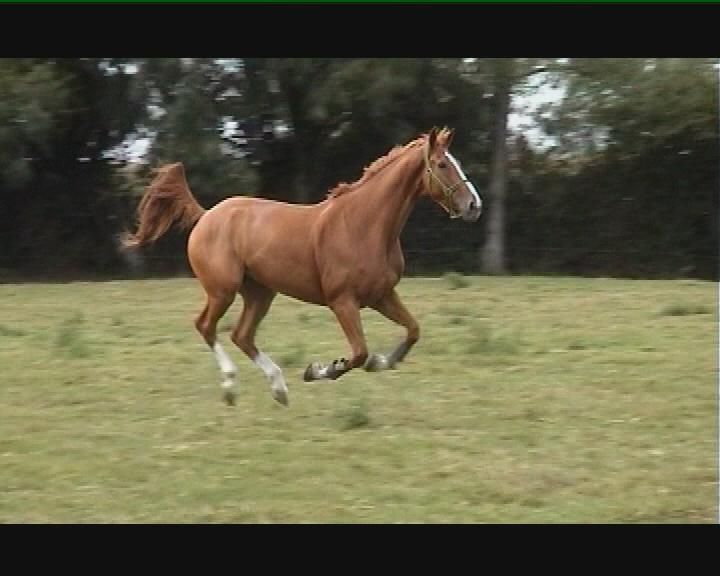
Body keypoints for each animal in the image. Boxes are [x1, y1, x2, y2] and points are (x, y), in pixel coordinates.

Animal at [122, 126, 482, 407]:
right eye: (441, 164)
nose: (474, 206)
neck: (364, 225)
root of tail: (207, 215)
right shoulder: (342, 301)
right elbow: (358, 353)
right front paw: (320, 369)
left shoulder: (382, 296)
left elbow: (411, 332)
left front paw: (382, 362)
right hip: (223, 290)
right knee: (206, 326)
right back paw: (231, 387)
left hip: (260, 293)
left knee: (241, 335)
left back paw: (279, 389)